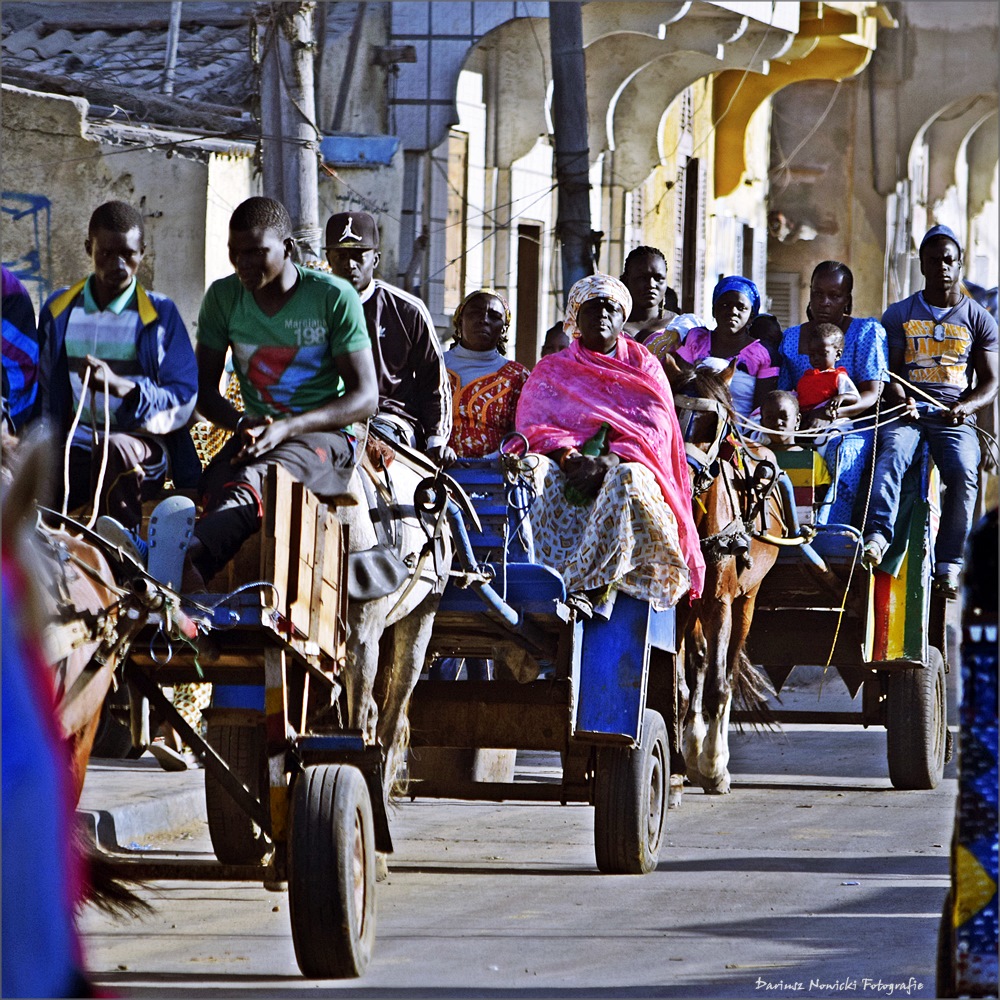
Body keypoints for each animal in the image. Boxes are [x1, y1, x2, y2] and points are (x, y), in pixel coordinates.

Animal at [664, 360, 780, 804]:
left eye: (711, 423)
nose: (682, 472)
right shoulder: (679, 606)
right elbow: (679, 688)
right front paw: (676, 773)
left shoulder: (720, 603)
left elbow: (716, 685)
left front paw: (714, 767)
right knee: (696, 666)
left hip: (747, 602)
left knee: (725, 671)